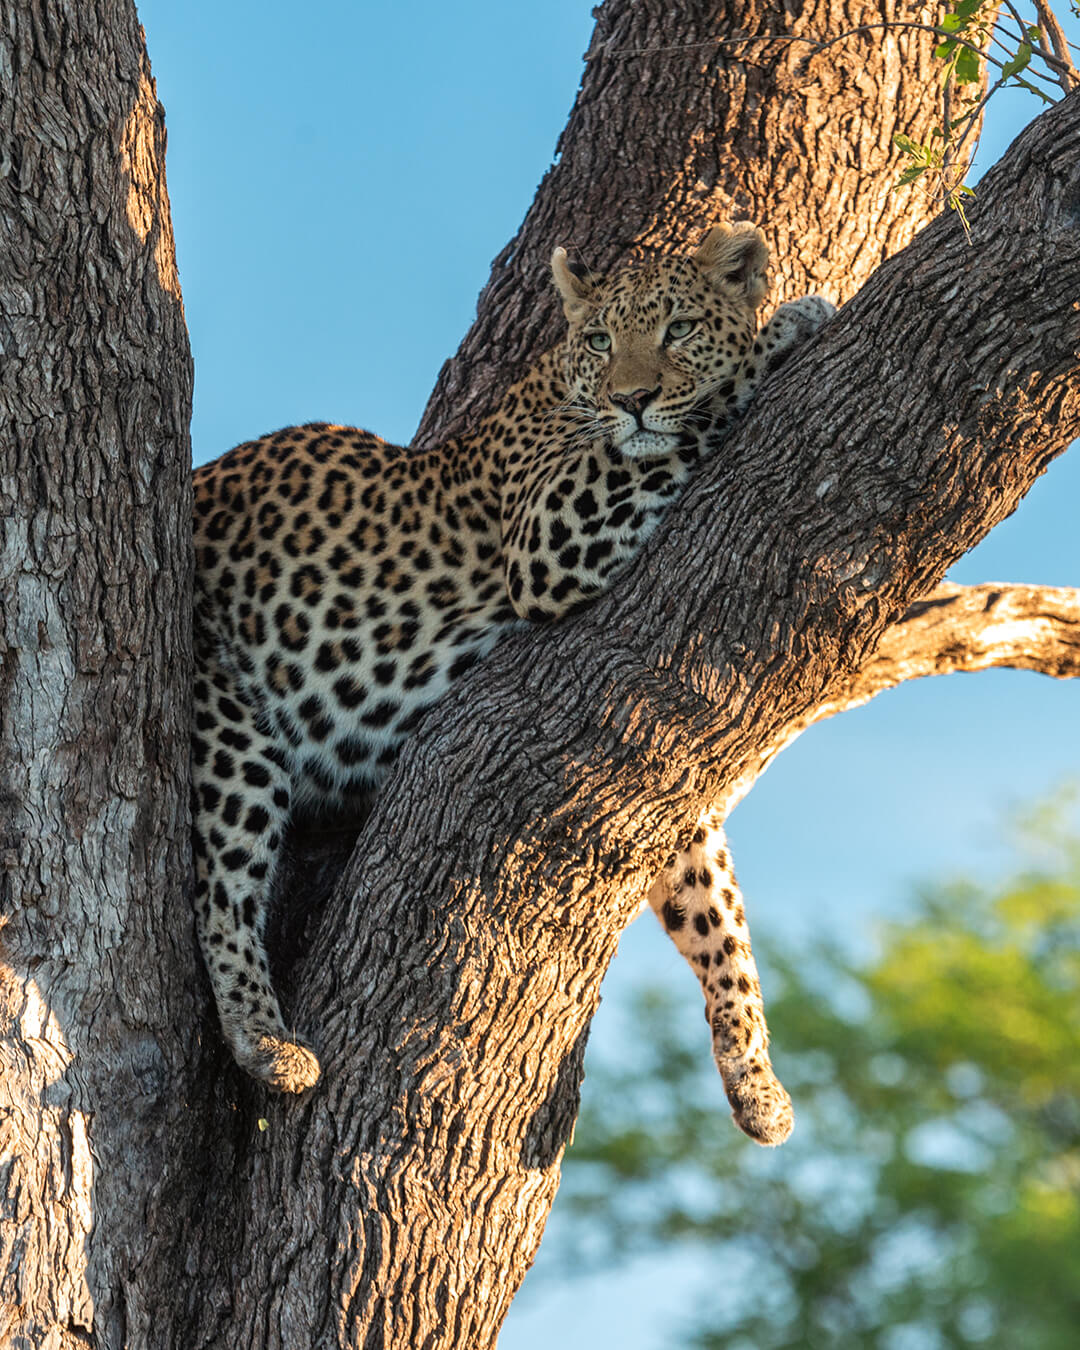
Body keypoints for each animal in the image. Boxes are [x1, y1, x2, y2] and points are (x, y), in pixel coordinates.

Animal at [191, 221, 834, 1145]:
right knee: (220, 893)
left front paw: (757, 1081)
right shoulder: (552, 529)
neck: (566, 386)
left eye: (677, 328)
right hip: (227, 723)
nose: (634, 397)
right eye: (600, 339)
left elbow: (719, 922)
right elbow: (697, 415)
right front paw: (788, 327)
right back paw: (269, 1044)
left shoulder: (677, 784)